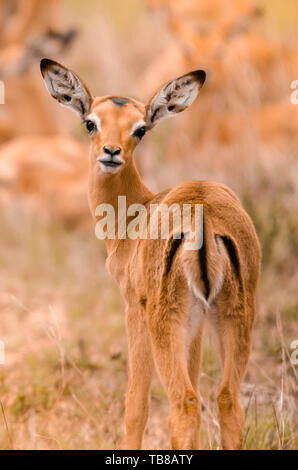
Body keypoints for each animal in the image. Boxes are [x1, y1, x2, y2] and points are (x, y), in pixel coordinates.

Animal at [40, 57, 260, 450]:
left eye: (140, 129)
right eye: (91, 122)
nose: (111, 152)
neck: (135, 215)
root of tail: (205, 216)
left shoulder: (134, 310)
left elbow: (135, 405)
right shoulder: (196, 325)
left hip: (165, 323)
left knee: (183, 404)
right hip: (234, 317)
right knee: (226, 401)